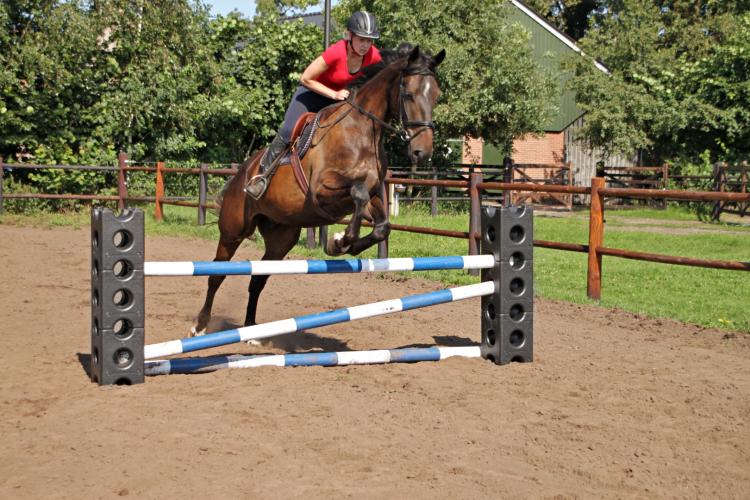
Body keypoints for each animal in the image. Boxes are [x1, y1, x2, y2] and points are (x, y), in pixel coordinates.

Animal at [192, 45, 445, 335]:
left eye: (436, 96)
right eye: (408, 94)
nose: (422, 152)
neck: (361, 131)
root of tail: (241, 174)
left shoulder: (373, 195)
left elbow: (382, 225)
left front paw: (340, 244)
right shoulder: (322, 190)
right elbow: (357, 192)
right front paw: (341, 240)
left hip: (280, 239)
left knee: (258, 279)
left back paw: (251, 331)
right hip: (233, 231)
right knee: (216, 274)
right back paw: (200, 325)